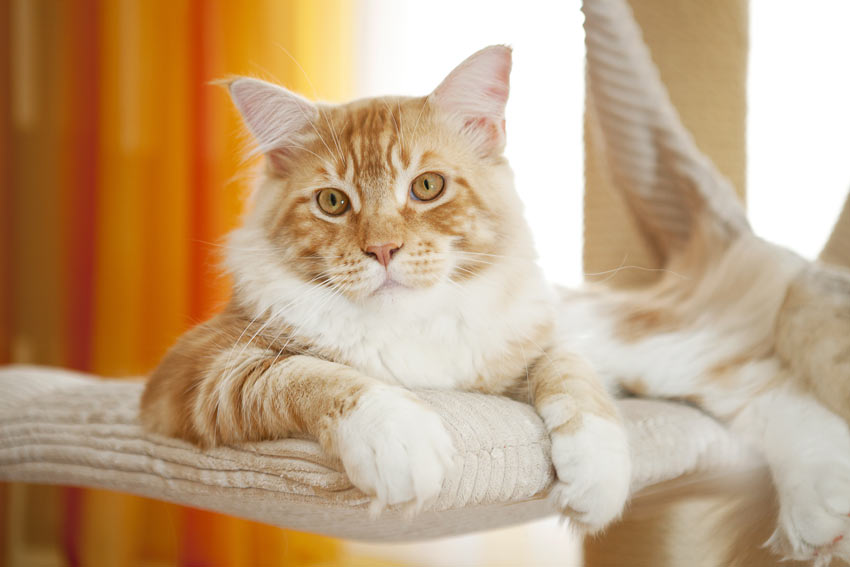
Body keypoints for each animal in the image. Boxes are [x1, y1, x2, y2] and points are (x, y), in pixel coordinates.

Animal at [141, 46, 628, 532]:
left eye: (428, 186)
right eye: (332, 202)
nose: (382, 249)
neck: (406, 327)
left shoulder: (522, 348)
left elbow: (571, 371)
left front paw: (598, 468)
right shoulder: (195, 370)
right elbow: (310, 375)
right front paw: (398, 437)